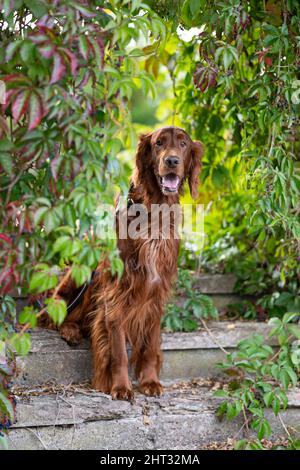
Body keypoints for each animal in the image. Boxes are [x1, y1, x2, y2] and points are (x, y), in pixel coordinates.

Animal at [39, 126, 202, 398]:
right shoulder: (116, 292)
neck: (154, 213)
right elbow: (117, 350)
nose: (171, 161)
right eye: (159, 143)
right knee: (57, 311)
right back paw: (70, 330)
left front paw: (150, 381)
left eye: (183, 144)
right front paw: (120, 386)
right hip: (83, 275)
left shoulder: (156, 292)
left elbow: (151, 345)